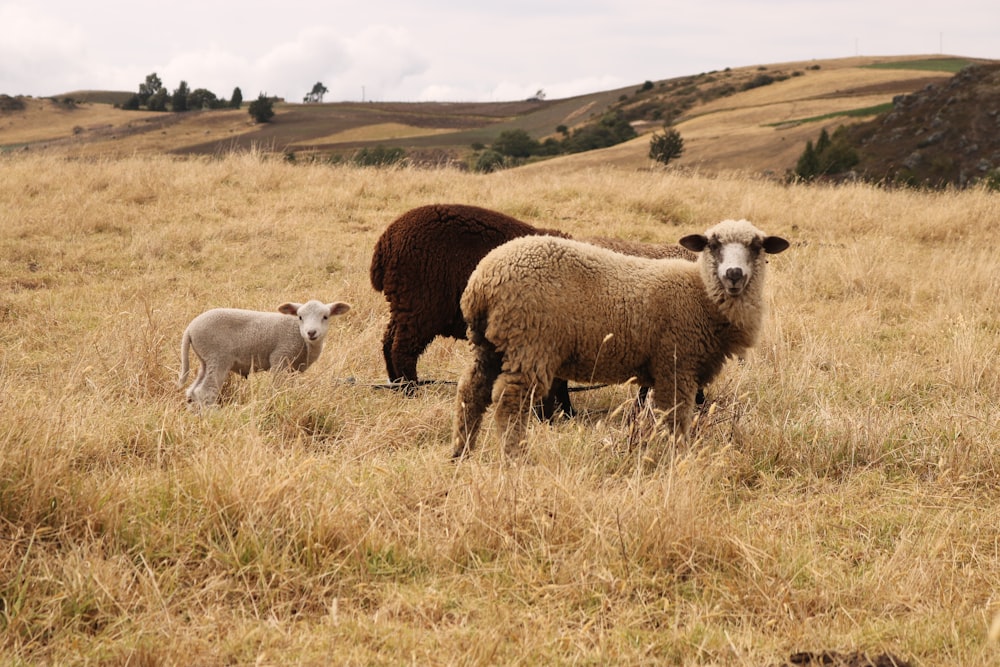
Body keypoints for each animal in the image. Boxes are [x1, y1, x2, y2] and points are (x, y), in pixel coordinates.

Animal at [180, 302, 352, 408]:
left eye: (325, 317)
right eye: (300, 317)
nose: (311, 332)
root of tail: (190, 328)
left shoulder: (293, 369)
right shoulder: (280, 357)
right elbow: (276, 388)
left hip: (205, 360)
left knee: (193, 391)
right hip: (218, 357)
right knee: (205, 392)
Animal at [370, 202, 696, 418]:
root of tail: (385, 243)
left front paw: (559, 413)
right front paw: (555, 415)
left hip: (404, 306)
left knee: (387, 343)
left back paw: (396, 387)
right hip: (420, 307)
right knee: (402, 349)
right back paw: (410, 391)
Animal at [454, 219, 788, 460]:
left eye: (756, 246)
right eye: (713, 244)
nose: (734, 273)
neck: (701, 295)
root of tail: (482, 281)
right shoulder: (676, 365)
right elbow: (675, 418)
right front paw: (678, 458)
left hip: (490, 344)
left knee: (471, 391)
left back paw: (462, 452)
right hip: (529, 343)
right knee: (510, 402)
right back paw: (515, 459)